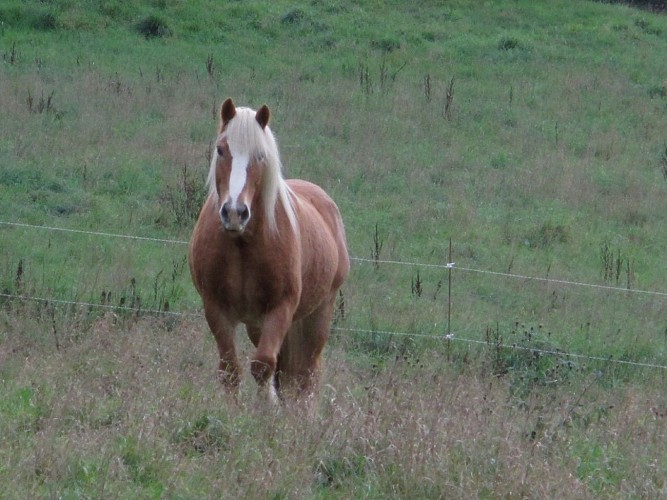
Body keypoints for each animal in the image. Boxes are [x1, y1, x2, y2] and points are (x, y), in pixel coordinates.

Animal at [188, 98, 349, 401]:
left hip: (318, 315)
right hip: (258, 325)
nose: (235, 213)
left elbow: (263, 366)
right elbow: (231, 370)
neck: (242, 244)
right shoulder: (216, 308)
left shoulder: (280, 309)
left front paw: (267, 409)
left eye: (260, 156)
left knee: (307, 375)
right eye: (221, 149)